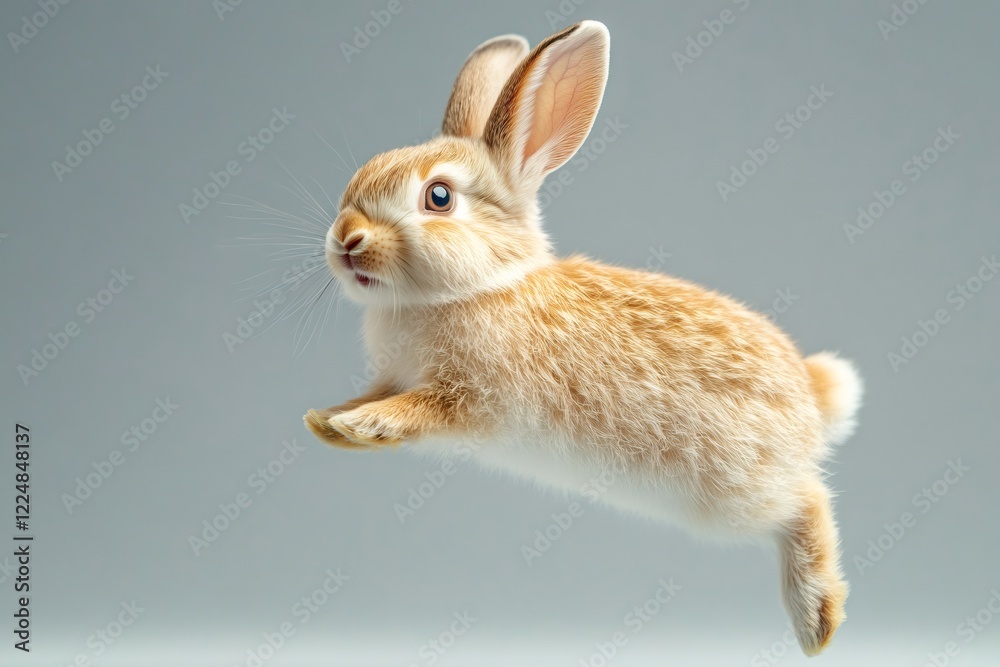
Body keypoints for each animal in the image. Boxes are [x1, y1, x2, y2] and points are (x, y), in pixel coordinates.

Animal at [303, 20, 862, 656]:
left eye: (438, 197)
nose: (346, 238)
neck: (477, 286)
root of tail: (812, 395)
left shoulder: (469, 398)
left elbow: (417, 411)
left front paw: (366, 425)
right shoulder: (394, 377)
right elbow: (368, 395)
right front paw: (330, 422)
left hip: (737, 490)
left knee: (808, 500)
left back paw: (817, 619)